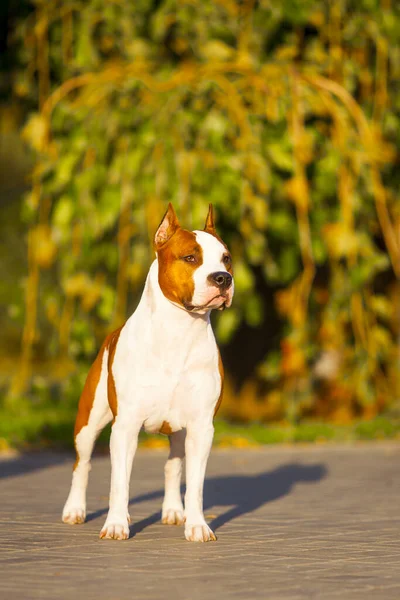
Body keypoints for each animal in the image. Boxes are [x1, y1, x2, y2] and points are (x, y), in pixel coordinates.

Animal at [62, 204, 234, 540]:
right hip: (88, 422)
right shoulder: (125, 427)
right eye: (190, 258)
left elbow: (195, 484)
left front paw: (197, 525)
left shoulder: (201, 427)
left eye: (226, 258)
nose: (223, 278)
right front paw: (116, 524)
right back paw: (75, 510)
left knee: (173, 465)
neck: (179, 331)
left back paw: (174, 511)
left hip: (179, 432)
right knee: (82, 464)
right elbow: (119, 483)